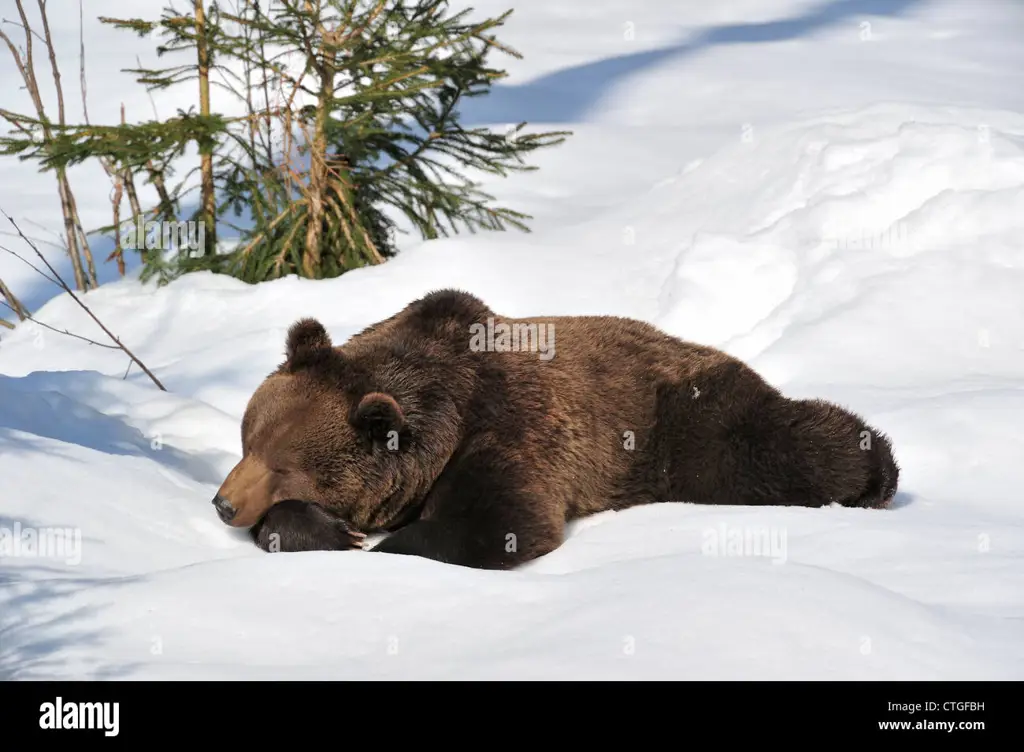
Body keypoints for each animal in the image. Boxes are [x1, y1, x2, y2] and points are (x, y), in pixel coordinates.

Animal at [214, 288, 897, 569]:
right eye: (249, 441)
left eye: (284, 464)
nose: (223, 503)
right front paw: (329, 532)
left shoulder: (509, 429)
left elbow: (500, 521)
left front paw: (382, 545)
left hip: (680, 423)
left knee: (781, 448)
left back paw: (875, 470)